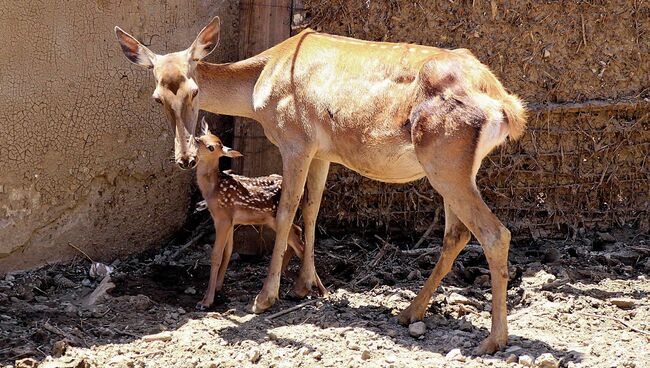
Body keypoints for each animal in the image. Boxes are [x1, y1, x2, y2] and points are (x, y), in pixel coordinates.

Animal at [115, 16, 520, 354]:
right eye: (157, 97)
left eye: (194, 91)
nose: (183, 157)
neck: (259, 87)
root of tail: (507, 107)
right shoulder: (323, 151)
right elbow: (311, 209)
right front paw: (307, 286)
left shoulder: (295, 139)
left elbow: (287, 210)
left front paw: (266, 297)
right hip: (454, 168)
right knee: (457, 234)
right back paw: (409, 312)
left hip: (445, 162)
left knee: (495, 232)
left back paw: (492, 340)